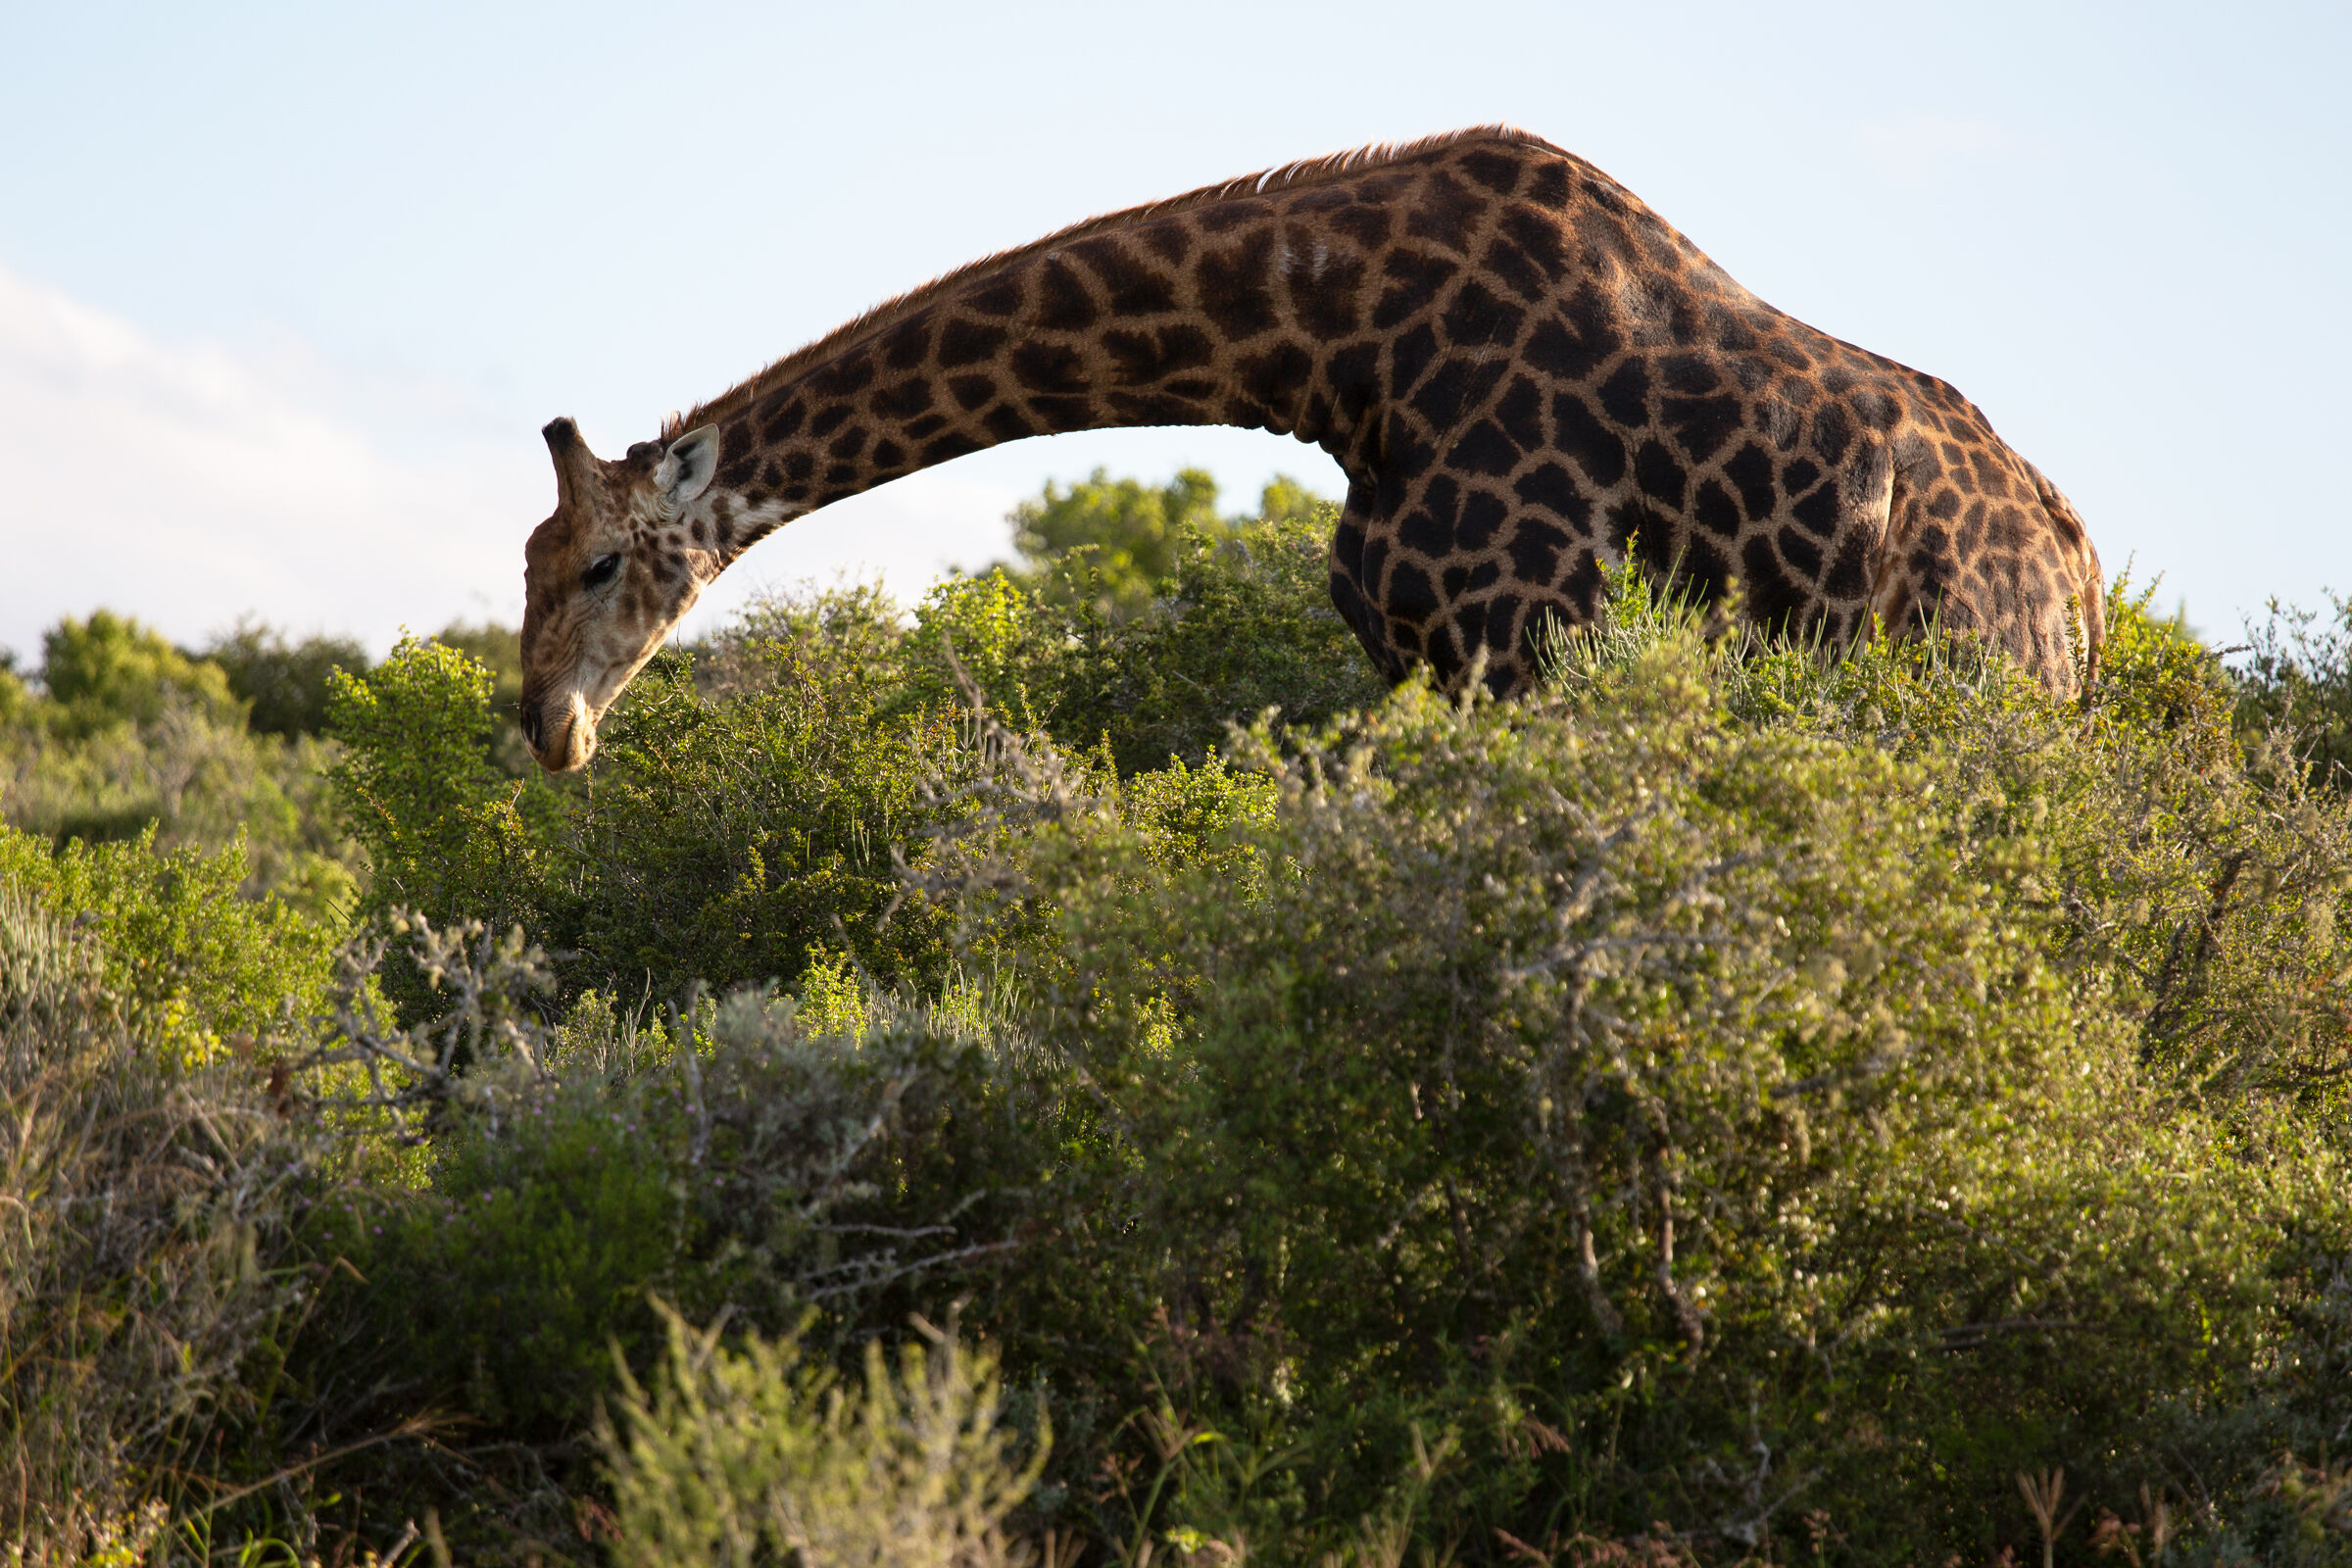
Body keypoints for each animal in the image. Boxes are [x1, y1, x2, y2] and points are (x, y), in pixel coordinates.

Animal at [519, 126, 2103, 772]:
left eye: (597, 564)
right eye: (528, 564)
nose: (547, 728)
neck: (1338, 349)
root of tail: (2079, 582)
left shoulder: (1527, 642)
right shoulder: (1414, 656)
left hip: (1977, 690)